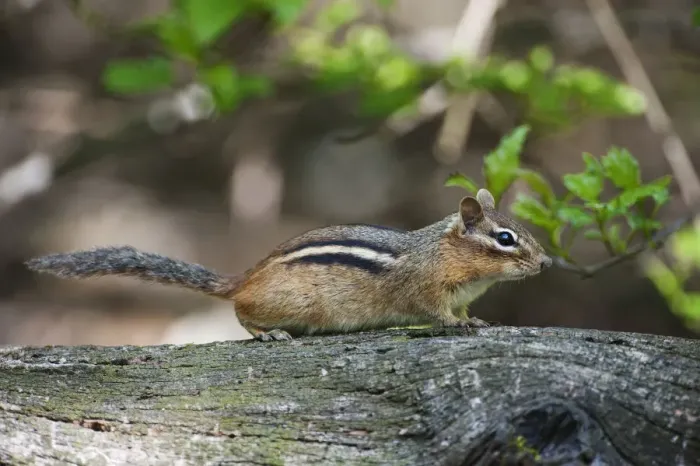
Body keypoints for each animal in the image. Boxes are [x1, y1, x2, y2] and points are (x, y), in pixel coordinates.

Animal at [25, 188, 552, 342]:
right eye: (505, 239)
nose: (546, 263)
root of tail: (244, 278)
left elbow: (464, 311)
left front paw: (475, 319)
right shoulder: (425, 289)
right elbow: (437, 313)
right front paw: (459, 325)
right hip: (296, 305)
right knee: (240, 312)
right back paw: (268, 333)